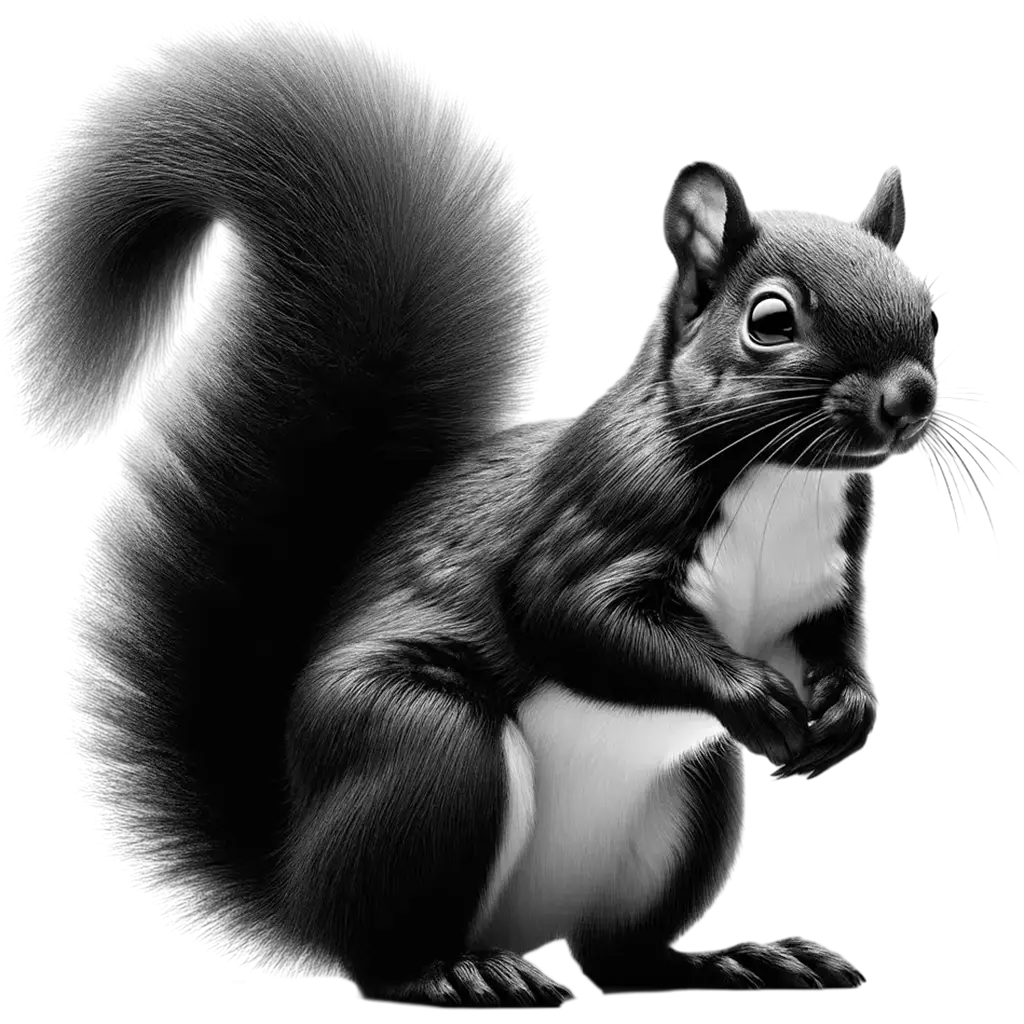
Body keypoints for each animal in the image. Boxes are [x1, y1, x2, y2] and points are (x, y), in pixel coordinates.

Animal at [4, 15, 941, 1011]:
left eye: (927, 301)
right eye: (771, 321)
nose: (910, 396)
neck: (779, 479)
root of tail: (295, 888)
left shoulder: (825, 579)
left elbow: (833, 641)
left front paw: (850, 710)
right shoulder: (598, 514)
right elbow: (572, 614)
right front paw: (752, 695)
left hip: (694, 796)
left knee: (620, 954)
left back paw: (728, 957)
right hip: (426, 753)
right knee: (378, 952)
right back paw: (456, 970)